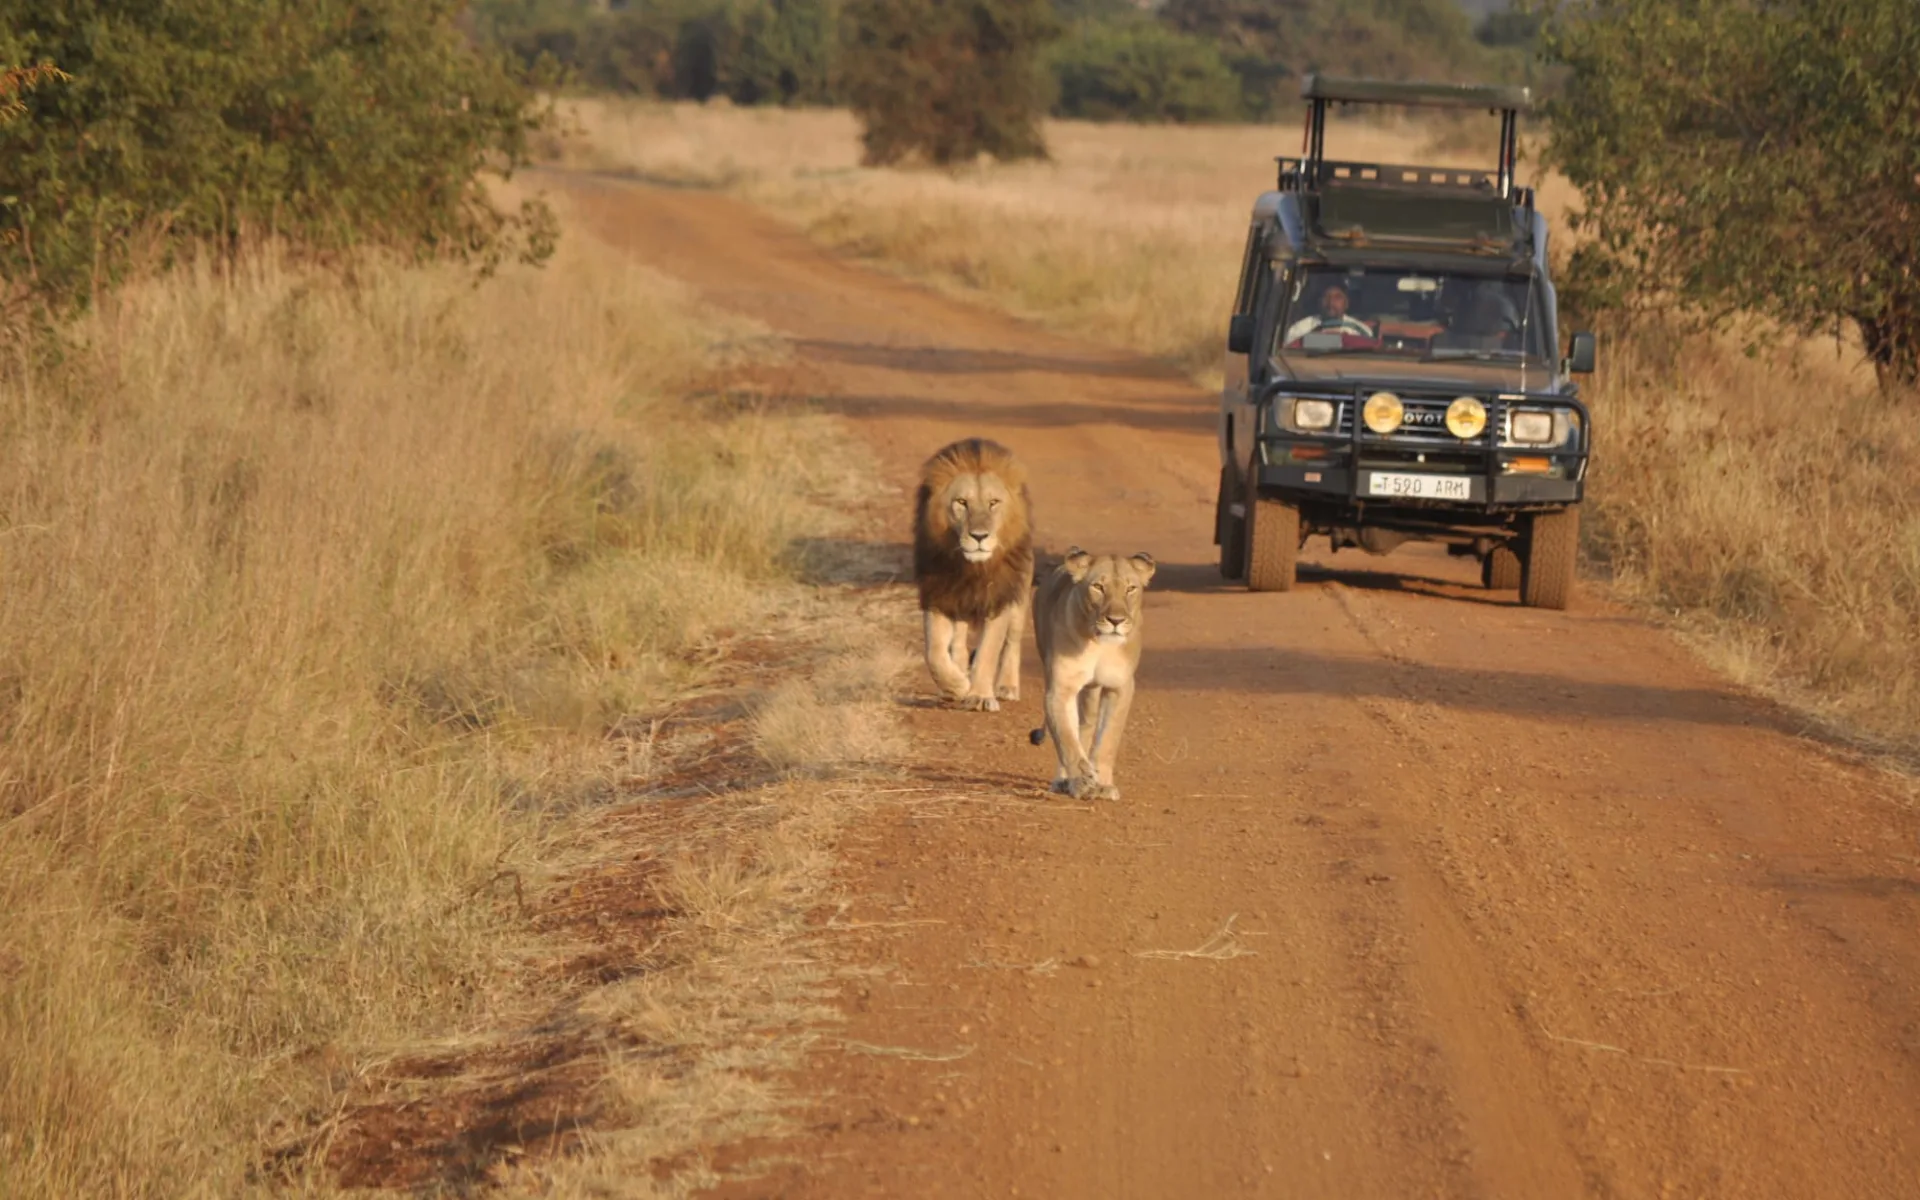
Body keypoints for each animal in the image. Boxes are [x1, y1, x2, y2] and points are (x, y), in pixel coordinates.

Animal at [913, 435, 1036, 706]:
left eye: (993, 503)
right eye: (962, 502)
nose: (979, 536)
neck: (972, 569)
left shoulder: (998, 599)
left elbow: (989, 651)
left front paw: (979, 695)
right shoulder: (939, 594)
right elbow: (934, 652)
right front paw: (956, 686)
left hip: (1019, 594)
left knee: (1012, 642)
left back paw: (1006, 686)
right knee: (957, 643)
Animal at [1021, 549, 1152, 798]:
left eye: (1131, 588)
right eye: (1098, 587)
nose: (1116, 620)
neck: (1099, 643)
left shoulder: (1119, 687)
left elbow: (1108, 740)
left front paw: (1103, 785)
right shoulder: (1061, 688)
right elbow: (1067, 739)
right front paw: (1080, 781)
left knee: (1087, 727)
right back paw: (1064, 780)